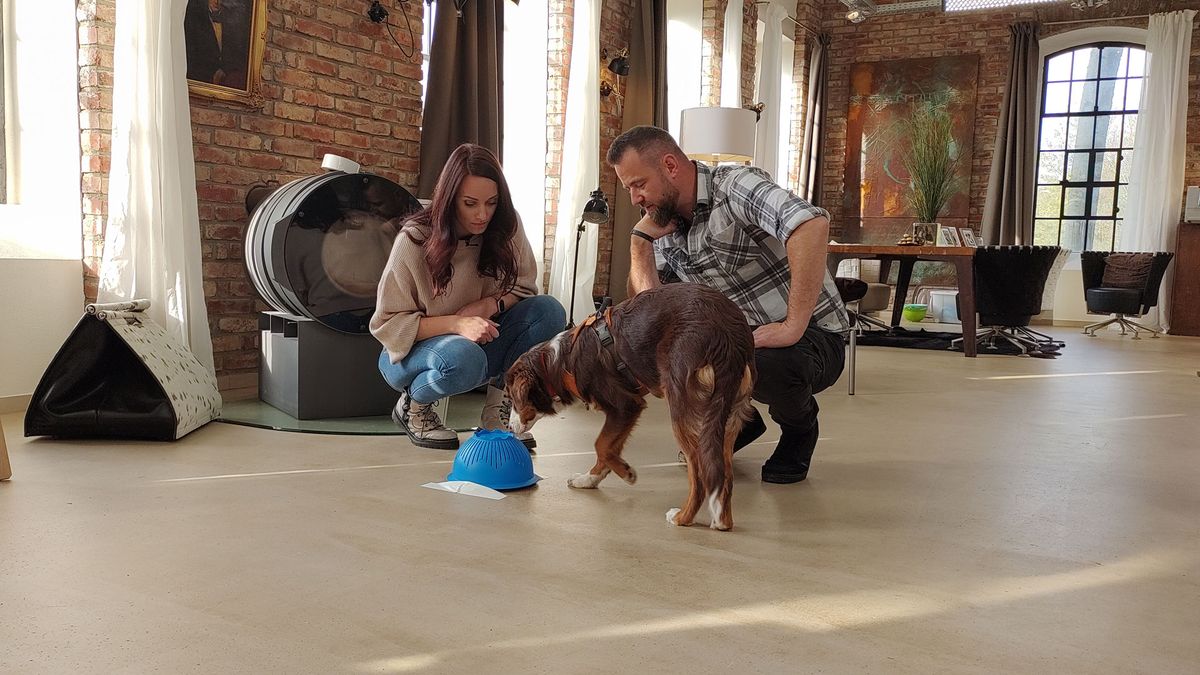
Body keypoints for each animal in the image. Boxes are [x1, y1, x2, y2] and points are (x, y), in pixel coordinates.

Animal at [508, 281, 758, 528]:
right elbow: (608, 447)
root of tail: (729, 333)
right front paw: (588, 479)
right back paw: (722, 521)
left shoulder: (625, 406)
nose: (509, 428)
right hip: (728, 417)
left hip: (683, 407)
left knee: (699, 473)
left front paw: (626, 473)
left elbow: (601, 444)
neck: (560, 363)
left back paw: (682, 518)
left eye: (512, 398)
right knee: (723, 473)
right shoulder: (625, 413)